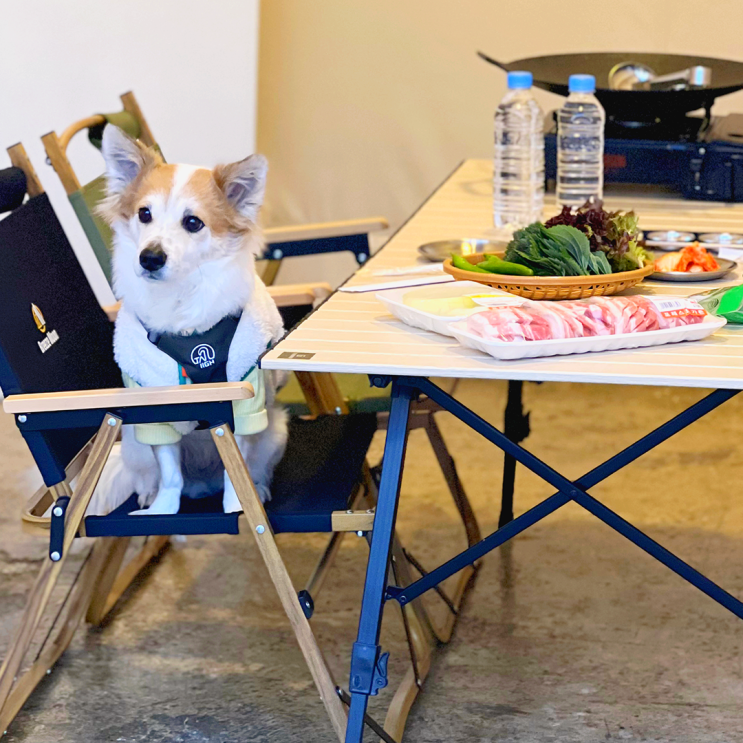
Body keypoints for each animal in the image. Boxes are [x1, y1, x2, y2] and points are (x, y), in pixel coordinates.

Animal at [85, 125, 286, 516]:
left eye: (193, 223)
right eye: (144, 214)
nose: (150, 257)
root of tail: (202, 483)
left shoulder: (244, 405)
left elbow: (236, 468)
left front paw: (237, 506)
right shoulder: (156, 413)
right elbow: (169, 473)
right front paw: (163, 509)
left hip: (276, 434)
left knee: (253, 467)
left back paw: (258, 487)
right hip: (132, 443)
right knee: (150, 475)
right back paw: (149, 495)